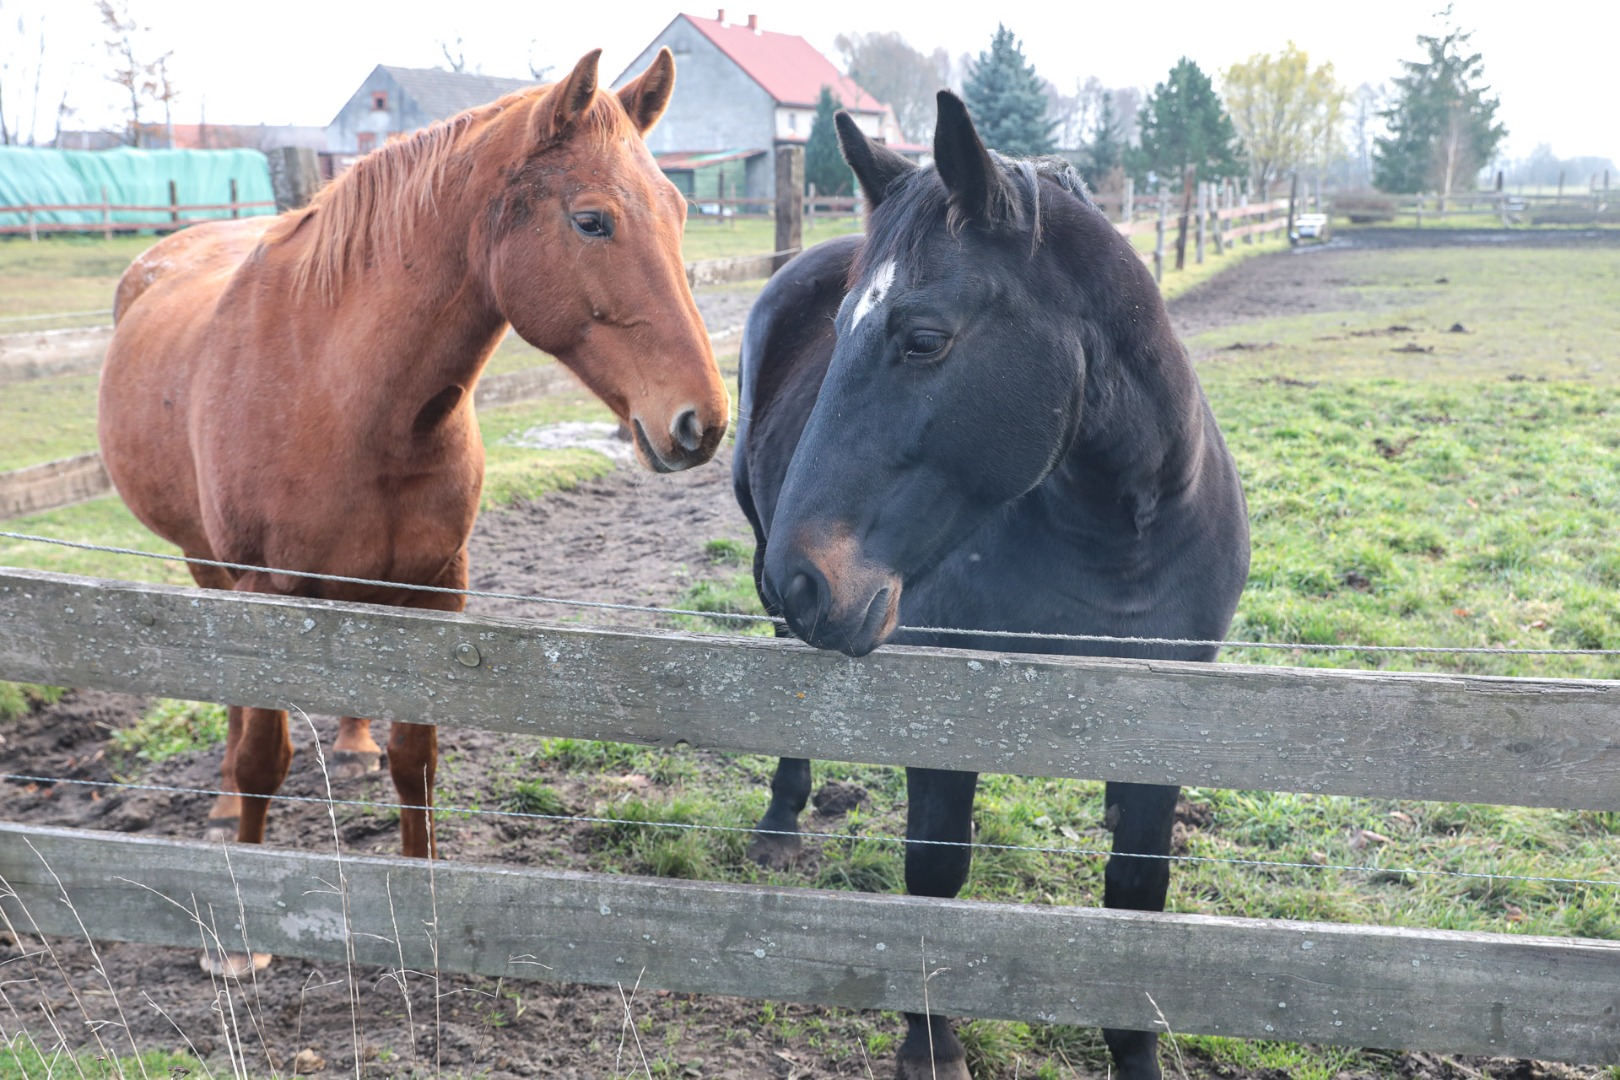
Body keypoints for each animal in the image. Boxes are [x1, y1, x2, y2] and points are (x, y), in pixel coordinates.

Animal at [101, 48, 729, 880]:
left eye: (680, 212)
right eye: (591, 220)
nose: (704, 422)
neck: (341, 396)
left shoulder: (436, 588)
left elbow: (416, 763)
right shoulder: (264, 593)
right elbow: (265, 760)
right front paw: (246, 881)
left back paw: (351, 745)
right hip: (208, 565)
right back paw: (227, 802)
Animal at [735, 93, 1250, 1080]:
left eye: (923, 339)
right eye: (839, 333)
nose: (802, 578)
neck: (1114, 538)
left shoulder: (1173, 715)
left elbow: (1138, 896)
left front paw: (1134, 1054)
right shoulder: (947, 713)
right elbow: (936, 872)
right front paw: (930, 1043)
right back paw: (782, 816)